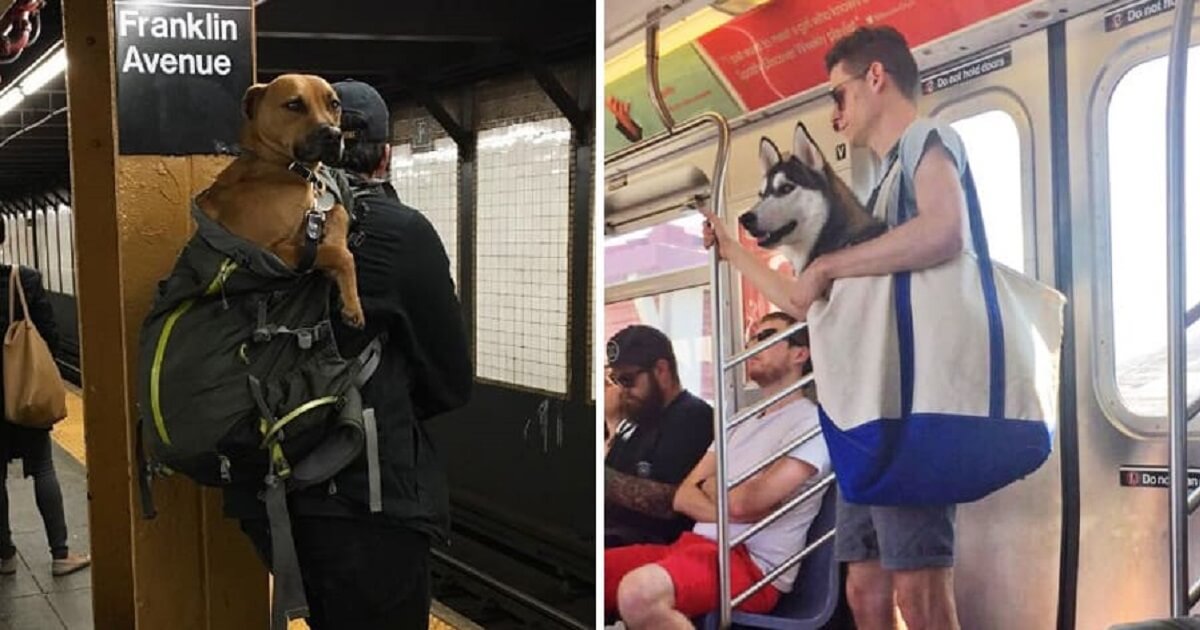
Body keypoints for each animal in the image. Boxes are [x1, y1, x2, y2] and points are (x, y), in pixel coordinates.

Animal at [196, 73, 362, 326]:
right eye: (294, 104)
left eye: (334, 104)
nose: (334, 134)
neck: (280, 168)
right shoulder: (274, 252)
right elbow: (341, 255)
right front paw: (353, 305)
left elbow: (339, 211)